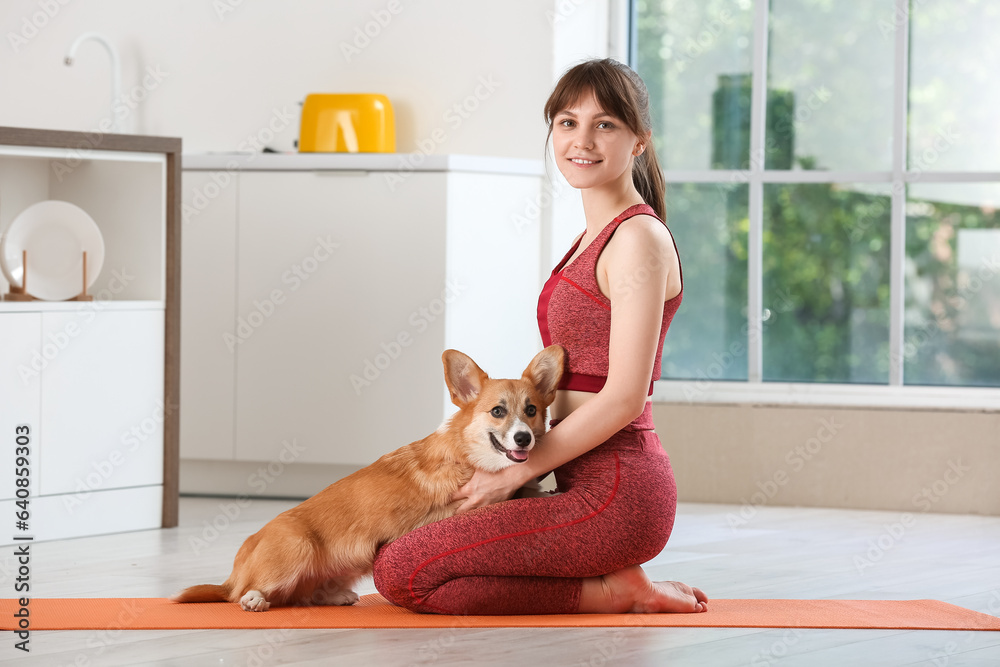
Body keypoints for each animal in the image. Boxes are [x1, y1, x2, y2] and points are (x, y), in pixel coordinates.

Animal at [172, 348, 564, 612]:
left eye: (531, 410)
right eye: (498, 411)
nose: (523, 439)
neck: (465, 451)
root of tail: (235, 572)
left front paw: (540, 489)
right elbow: (512, 491)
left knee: (303, 595)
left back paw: (336, 595)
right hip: (297, 547)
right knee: (245, 593)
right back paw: (253, 599)